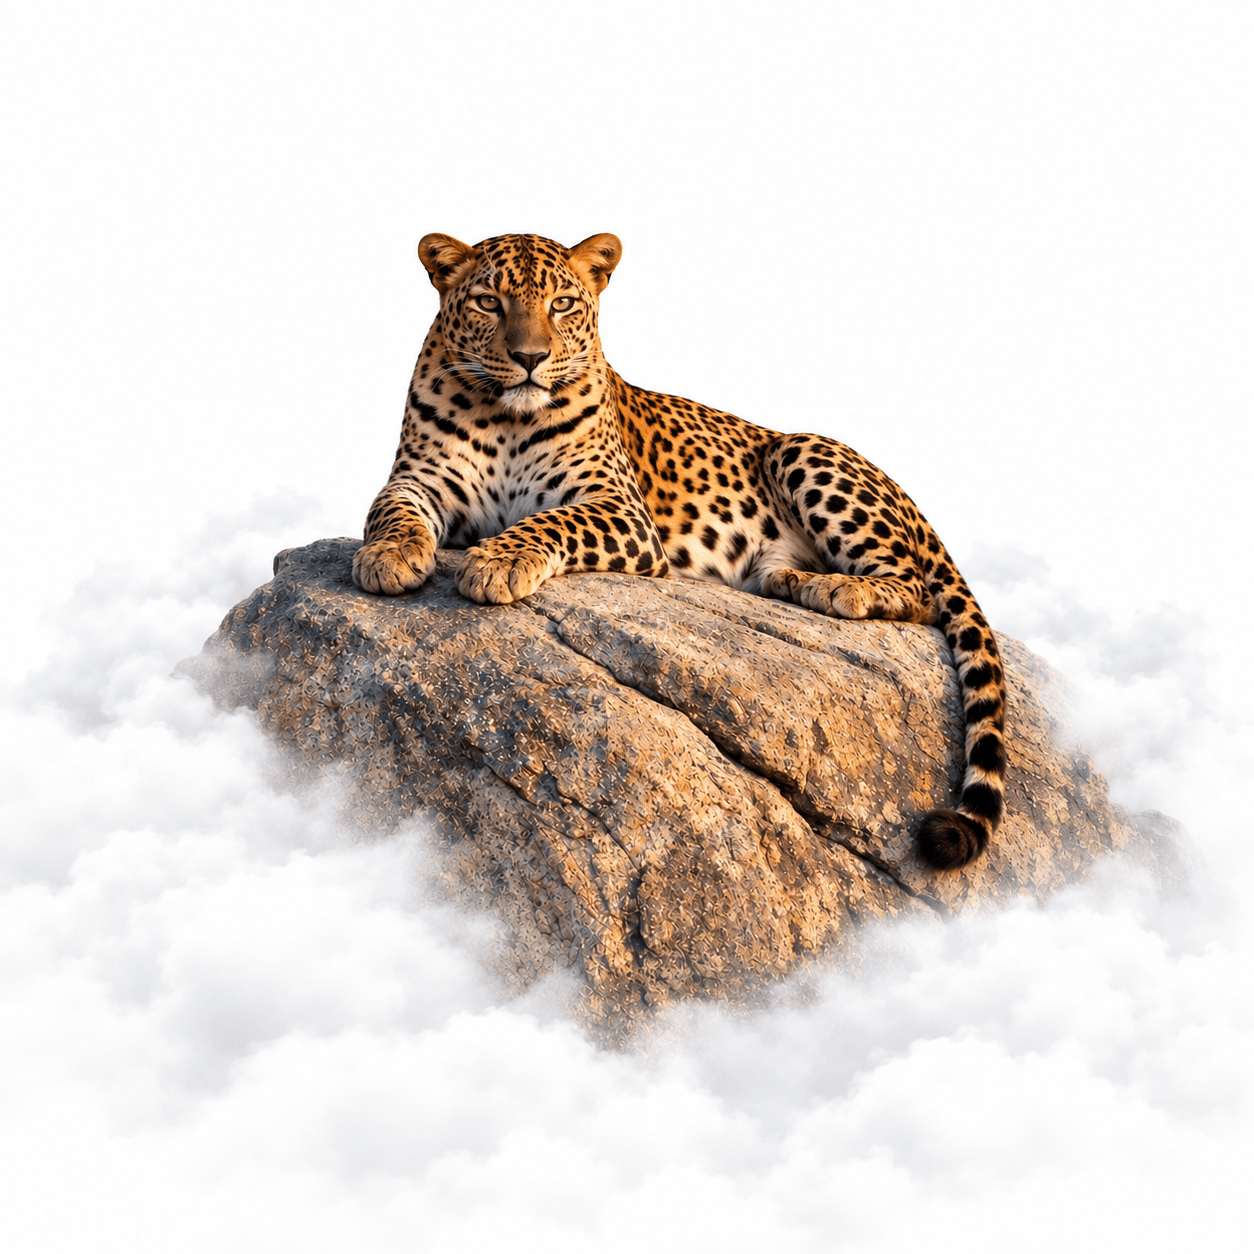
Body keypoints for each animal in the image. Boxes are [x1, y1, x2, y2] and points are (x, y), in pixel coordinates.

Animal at [353, 232, 1006, 870]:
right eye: (490, 303)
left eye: (561, 305)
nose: (530, 359)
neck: (505, 418)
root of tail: (907, 496)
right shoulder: (419, 480)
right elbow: (390, 512)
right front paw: (387, 556)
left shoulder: (618, 505)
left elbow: (550, 520)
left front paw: (497, 561)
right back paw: (796, 585)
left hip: (802, 451)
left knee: (918, 591)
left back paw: (839, 589)